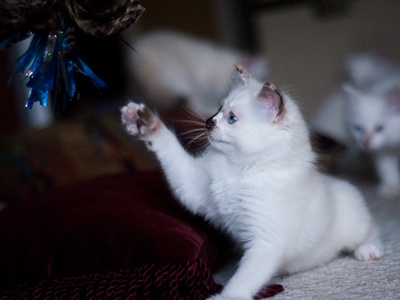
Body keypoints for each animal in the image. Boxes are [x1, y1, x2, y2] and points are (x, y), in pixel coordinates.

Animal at [121, 64, 382, 298]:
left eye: (232, 119)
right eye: (218, 109)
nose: (208, 122)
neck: (238, 169)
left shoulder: (265, 242)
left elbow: (242, 281)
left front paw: (224, 298)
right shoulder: (194, 189)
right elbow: (168, 147)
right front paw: (141, 121)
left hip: (355, 223)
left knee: (370, 231)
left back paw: (369, 251)